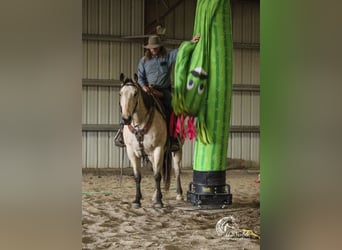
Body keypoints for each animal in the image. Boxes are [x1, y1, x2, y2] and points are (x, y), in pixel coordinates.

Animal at [119, 73, 183, 209]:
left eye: (135, 93)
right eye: (120, 93)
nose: (126, 119)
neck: (140, 124)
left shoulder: (158, 149)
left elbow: (157, 176)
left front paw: (159, 202)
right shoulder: (131, 152)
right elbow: (138, 176)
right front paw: (137, 200)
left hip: (178, 149)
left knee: (176, 170)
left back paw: (179, 194)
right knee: (155, 168)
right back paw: (155, 196)